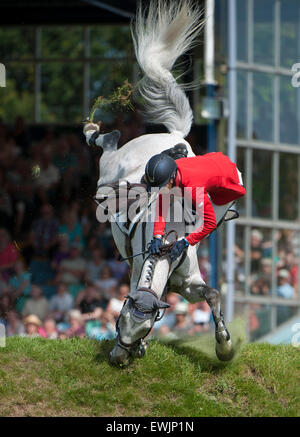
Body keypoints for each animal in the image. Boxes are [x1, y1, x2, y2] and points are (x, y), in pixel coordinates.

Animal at [84, 0, 234, 364]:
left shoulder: (189, 283)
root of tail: (172, 136)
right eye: (119, 320)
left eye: (143, 327)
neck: (169, 244)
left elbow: (212, 293)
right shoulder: (139, 270)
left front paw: (224, 344)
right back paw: (93, 129)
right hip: (108, 173)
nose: (117, 357)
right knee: (107, 146)